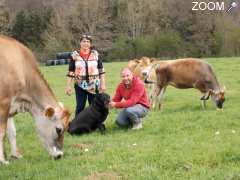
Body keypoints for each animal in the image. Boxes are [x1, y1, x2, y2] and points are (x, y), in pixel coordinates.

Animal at [0, 35, 71, 165]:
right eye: (59, 129)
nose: (59, 155)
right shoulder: (4, 102)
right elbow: (2, 132)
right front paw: (3, 160)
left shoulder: (11, 106)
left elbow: (12, 132)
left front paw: (15, 155)